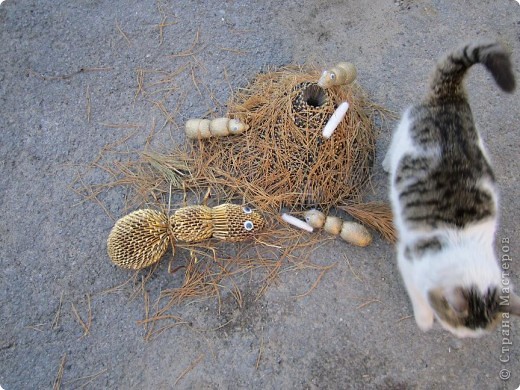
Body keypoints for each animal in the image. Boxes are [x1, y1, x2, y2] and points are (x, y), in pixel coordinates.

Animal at [382, 41, 520, 336]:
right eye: (456, 326)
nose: (460, 338)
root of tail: (449, 98)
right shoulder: (409, 261)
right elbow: (419, 295)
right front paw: (424, 320)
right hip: (405, 131)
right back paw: (388, 164)